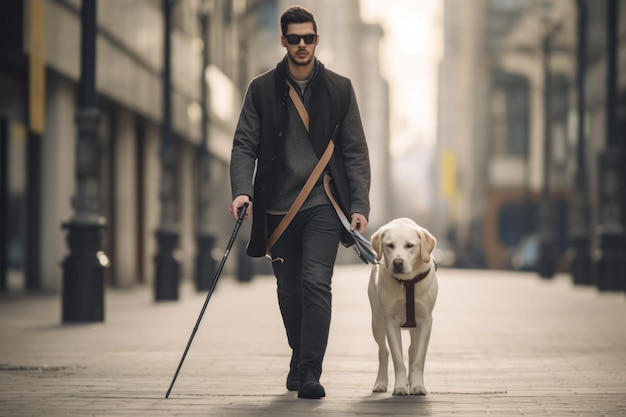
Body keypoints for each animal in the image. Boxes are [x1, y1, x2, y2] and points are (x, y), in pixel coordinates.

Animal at [368, 216, 436, 394]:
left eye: (410, 245)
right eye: (390, 245)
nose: (397, 262)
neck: (407, 283)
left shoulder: (425, 321)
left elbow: (419, 358)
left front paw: (418, 385)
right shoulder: (390, 322)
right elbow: (397, 358)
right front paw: (400, 386)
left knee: (412, 350)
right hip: (377, 322)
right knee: (383, 352)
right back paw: (381, 382)